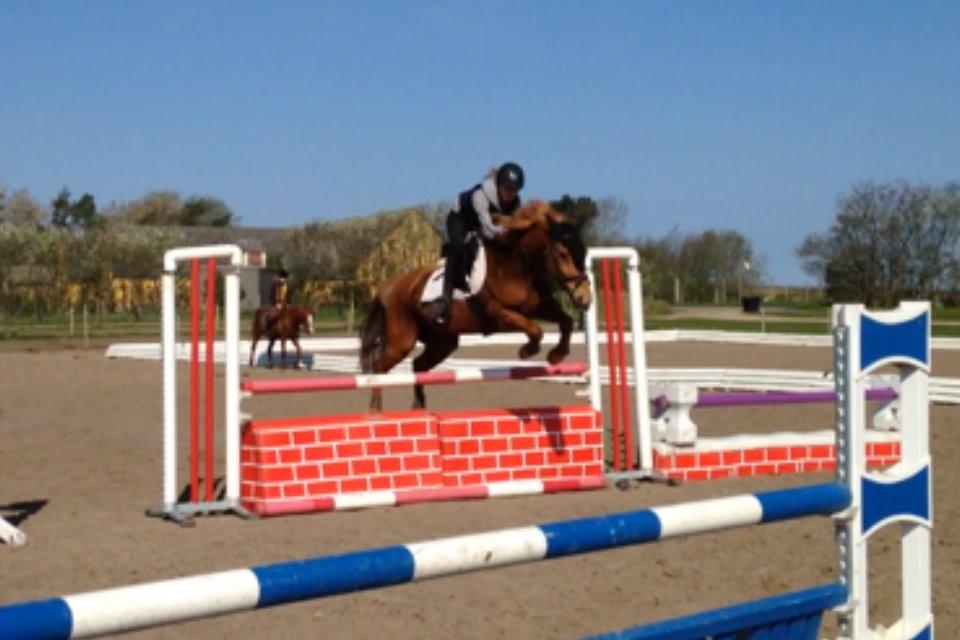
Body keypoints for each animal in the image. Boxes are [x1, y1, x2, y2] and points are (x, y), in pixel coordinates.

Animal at [359, 200, 592, 412]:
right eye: (562, 254)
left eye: (583, 252)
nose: (585, 298)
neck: (516, 267)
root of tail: (389, 286)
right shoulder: (500, 315)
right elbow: (535, 329)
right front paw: (527, 351)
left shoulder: (540, 307)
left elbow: (566, 321)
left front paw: (556, 355)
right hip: (403, 340)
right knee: (379, 366)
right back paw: (376, 410)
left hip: (443, 341)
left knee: (418, 365)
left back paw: (419, 407)